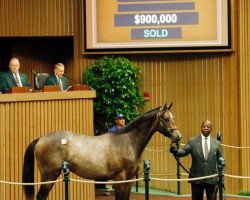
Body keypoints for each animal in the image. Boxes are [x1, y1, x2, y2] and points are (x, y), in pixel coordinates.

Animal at [22, 103, 181, 200]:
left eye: (173, 117)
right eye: (166, 118)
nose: (178, 136)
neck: (127, 142)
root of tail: (41, 139)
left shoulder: (129, 180)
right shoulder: (119, 180)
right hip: (49, 176)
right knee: (41, 196)